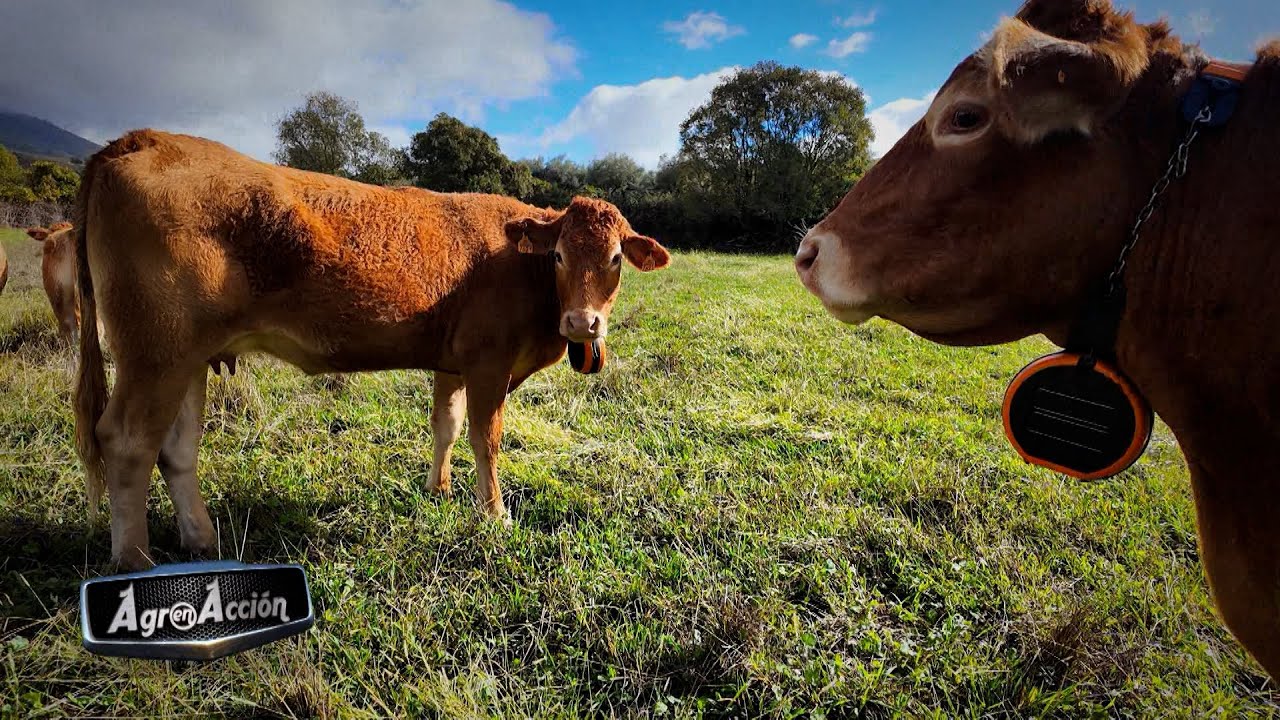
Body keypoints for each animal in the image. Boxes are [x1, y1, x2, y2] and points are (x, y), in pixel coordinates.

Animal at [73, 129, 671, 571]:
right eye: (560, 257)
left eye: (616, 259)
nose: (582, 323)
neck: (520, 266)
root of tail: (142, 140)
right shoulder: (488, 363)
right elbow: (486, 439)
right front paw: (494, 515)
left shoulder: (451, 361)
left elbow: (446, 425)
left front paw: (439, 489)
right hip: (155, 353)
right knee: (126, 442)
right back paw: (135, 561)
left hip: (188, 359)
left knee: (176, 450)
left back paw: (201, 541)